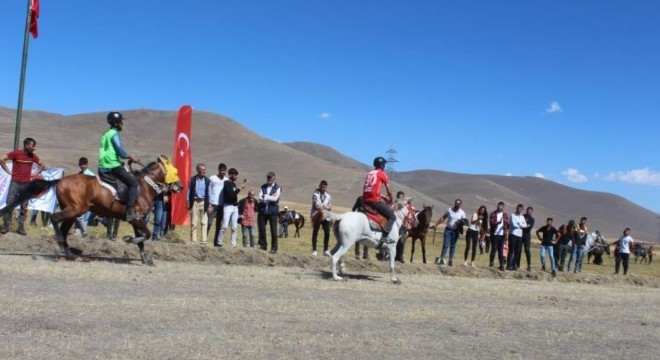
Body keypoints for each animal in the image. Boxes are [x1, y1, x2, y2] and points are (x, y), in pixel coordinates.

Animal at [3, 157, 183, 264]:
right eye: (175, 171)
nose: (180, 186)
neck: (144, 187)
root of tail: (60, 180)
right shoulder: (136, 218)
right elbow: (145, 235)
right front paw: (128, 239)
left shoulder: (135, 220)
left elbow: (143, 240)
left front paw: (145, 259)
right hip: (75, 209)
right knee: (55, 218)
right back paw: (61, 247)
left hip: (73, 212)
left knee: (63, 228)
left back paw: (69, 253)